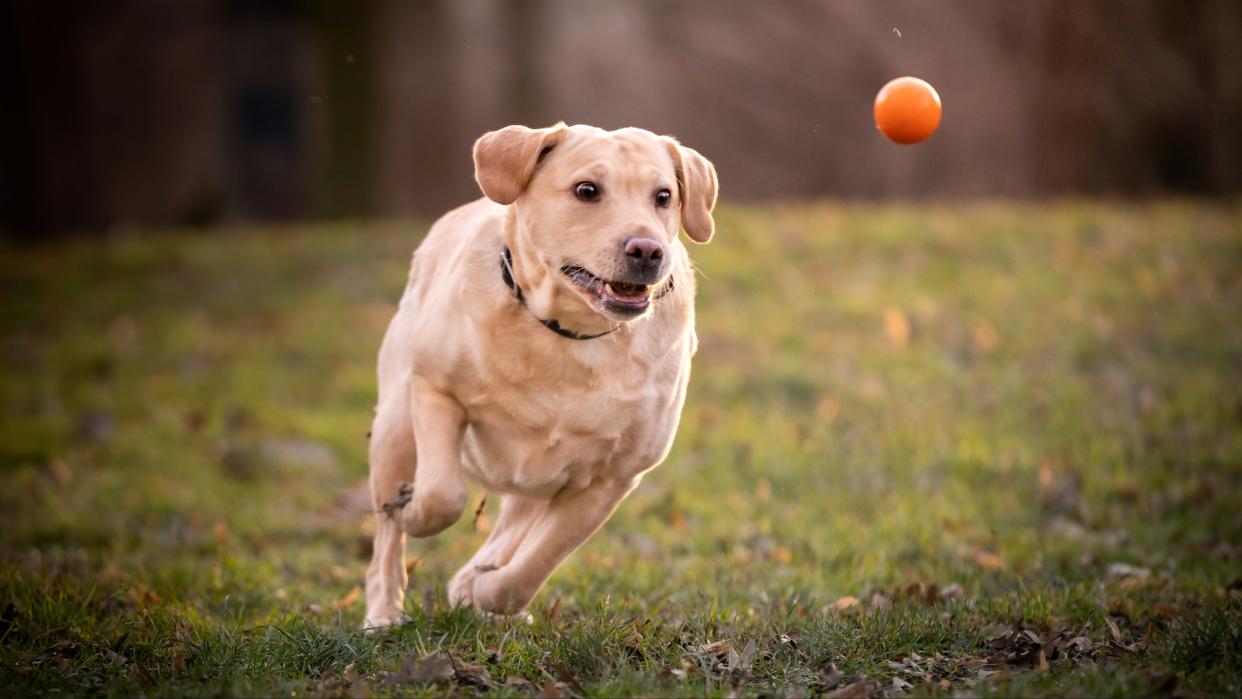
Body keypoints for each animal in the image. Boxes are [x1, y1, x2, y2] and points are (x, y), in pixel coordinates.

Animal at [360, 121, 720, 628]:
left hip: (536, 481)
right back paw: (383, 614)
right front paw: (411, 511)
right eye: (587, 190)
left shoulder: (613, 477)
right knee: (386, 548)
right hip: (396, 421)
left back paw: (472, 584)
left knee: (509, 535)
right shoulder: (435, 389)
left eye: (664, 196)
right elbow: (441, 495)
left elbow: (536, 563)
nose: (648, 250)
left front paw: (487, 591)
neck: (568, 336)